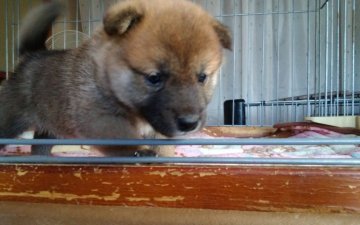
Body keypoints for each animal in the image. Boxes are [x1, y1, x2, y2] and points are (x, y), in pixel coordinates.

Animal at [0, 0, 231, 156]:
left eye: (202, 77)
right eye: (154, 78)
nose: (189, 123)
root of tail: (32, 55)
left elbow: (162, 141)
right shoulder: (100, 118)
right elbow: (123, 137)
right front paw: (140, 151)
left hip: (52, 126)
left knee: (40, 145)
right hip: (11, 118)